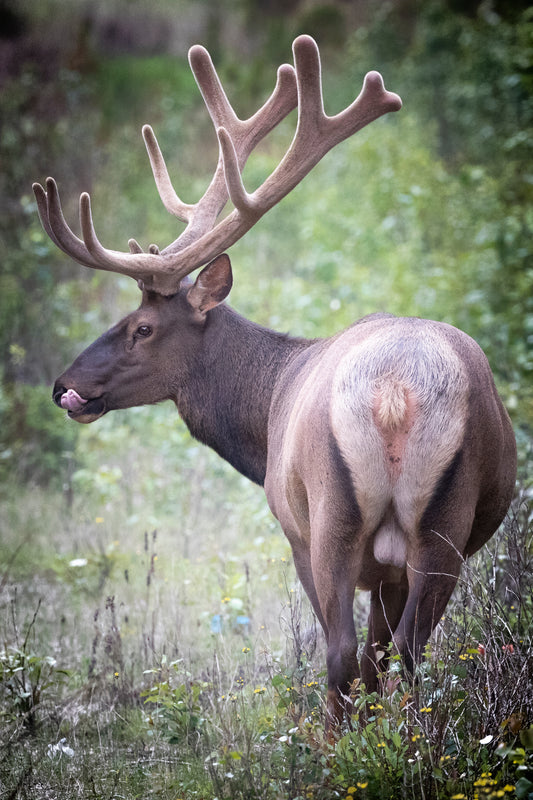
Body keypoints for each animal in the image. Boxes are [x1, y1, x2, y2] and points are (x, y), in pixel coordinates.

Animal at [33, 36, 516, 724]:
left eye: (142, 327)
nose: (64, 386)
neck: (262, 425)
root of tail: (395, 393)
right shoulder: (390, 571)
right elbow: (382, 658)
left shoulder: (293, 530)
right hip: (441, 527)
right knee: (406, 657)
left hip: (329, 521)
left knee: (342, 654)